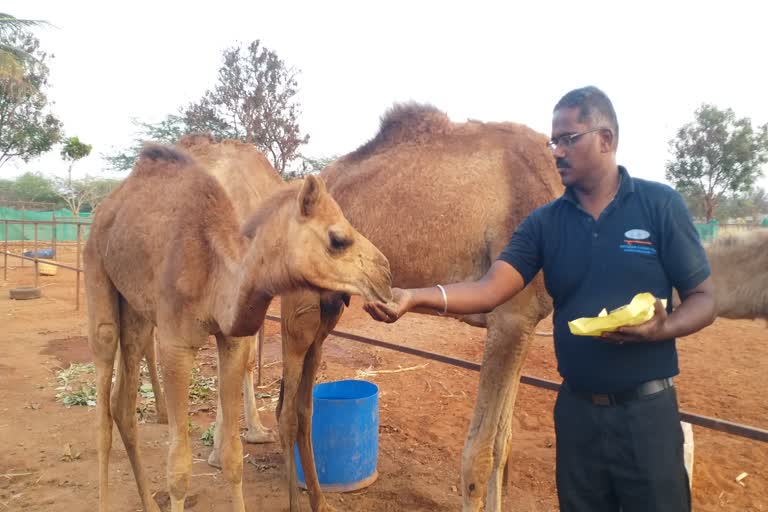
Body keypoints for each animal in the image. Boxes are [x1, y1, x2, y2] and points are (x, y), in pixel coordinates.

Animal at [86, 143, 392, 512]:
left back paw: (148, 503)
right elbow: (178, 468)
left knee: (123, 404)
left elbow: (234, 456)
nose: (385, 273)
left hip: (136, 310)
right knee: (103, 406)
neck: (213, 275)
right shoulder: (175, 345)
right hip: (97, 272)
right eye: (337, 239)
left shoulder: (231, 340)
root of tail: (109, 204)